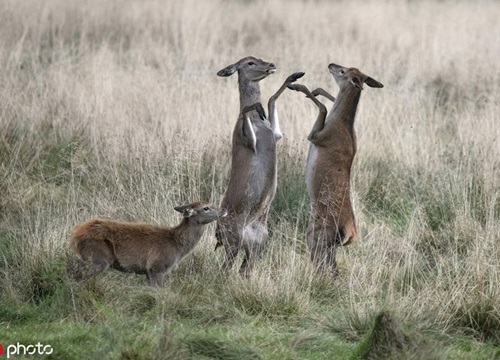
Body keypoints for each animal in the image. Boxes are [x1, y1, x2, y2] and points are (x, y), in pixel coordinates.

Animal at [70, 201, 227, 286]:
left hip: (84, 258)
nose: (224, 210)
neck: (177, 246)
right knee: (80, 276)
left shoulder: (147, 271)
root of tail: (75, 235)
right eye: (206, 207)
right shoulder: (157, 266)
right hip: (99, 257)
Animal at [216, 55, 304, 276]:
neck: (260, 126)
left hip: (257, 245)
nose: (271, 65)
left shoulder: (276, 135)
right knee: (225, 268)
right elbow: (246, 110)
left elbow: (272, 99)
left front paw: (295, 76)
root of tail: (217, 234)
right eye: (249, 63)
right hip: (233, 239)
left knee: (243, 269)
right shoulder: (246, 140)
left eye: (259, 58)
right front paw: (258, 107)